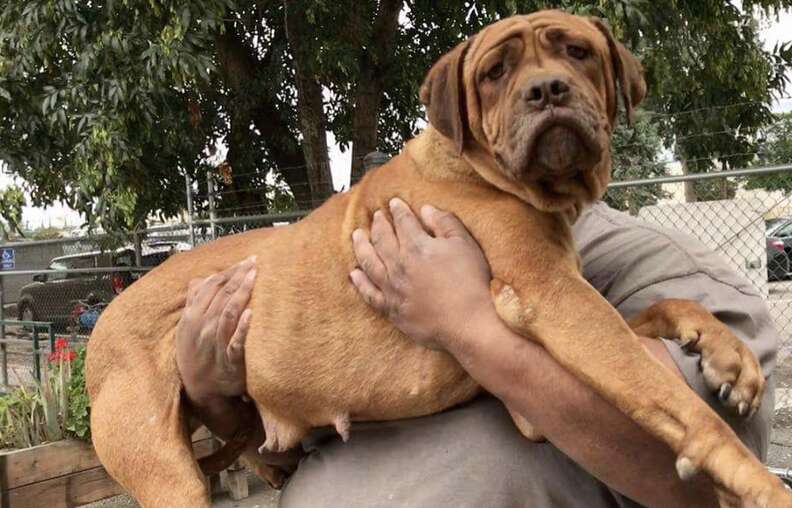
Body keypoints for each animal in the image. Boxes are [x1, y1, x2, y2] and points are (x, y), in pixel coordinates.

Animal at [88, 8, 792, 508]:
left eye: (578, 50)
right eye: (494, 72)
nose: (548, 90)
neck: (487, 172)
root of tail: (99, 326)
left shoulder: (552, 319)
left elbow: (663, 307)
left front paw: (725, 351)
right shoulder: (554, 298)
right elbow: (672, 399)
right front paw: (754, 481)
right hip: (168, 474)